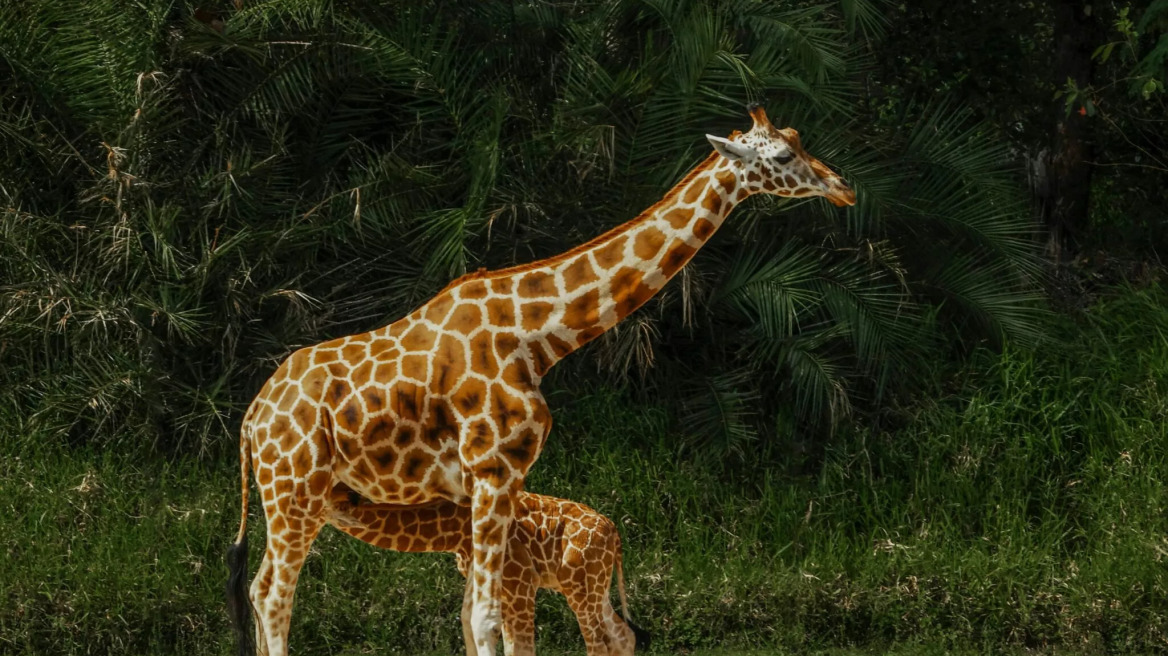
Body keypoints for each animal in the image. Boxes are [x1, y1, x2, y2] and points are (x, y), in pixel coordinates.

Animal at [324, 485, 649, 653]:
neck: (454, 530)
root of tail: (615, 533)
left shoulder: (520, 582)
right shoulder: (479, 575)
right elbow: (470, 624)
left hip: (580, 587)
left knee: (599, 644)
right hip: (593, 585)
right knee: (623, 635)